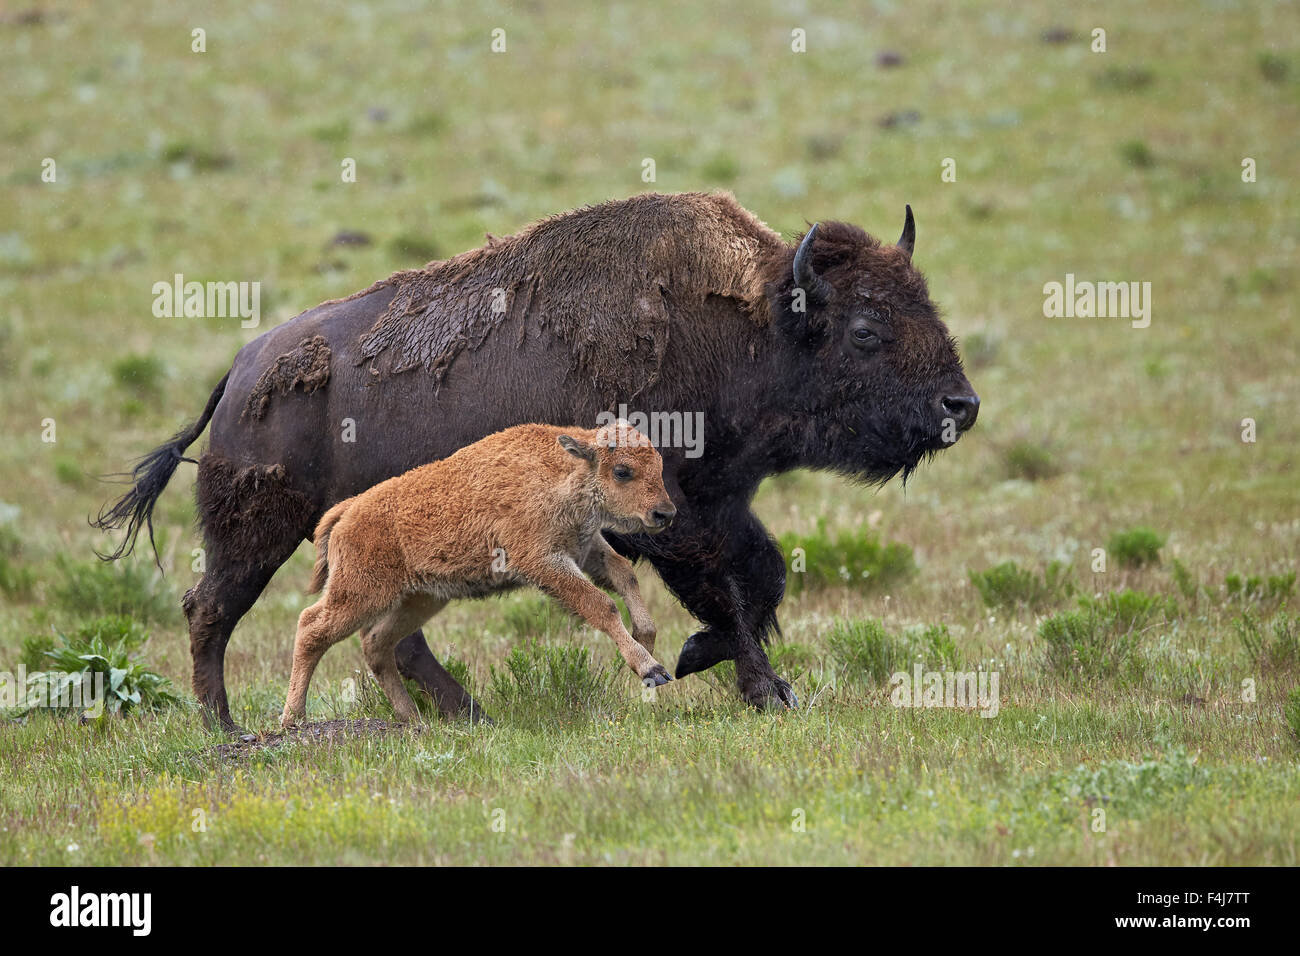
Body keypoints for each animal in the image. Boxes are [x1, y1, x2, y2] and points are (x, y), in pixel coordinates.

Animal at [281, 420, 674, 726]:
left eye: (659, 464)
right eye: (622, 471)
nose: (664, 513)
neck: (562, 470)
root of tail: (349, 511)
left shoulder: (587, 546)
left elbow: (624, 575)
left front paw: (646, 636)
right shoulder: (544, 563)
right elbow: (601, 605)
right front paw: (652, 670)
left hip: (419, 600)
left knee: (377, 643)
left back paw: (414, 719)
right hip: (361, 594)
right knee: (311, 628)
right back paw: (293, 718)